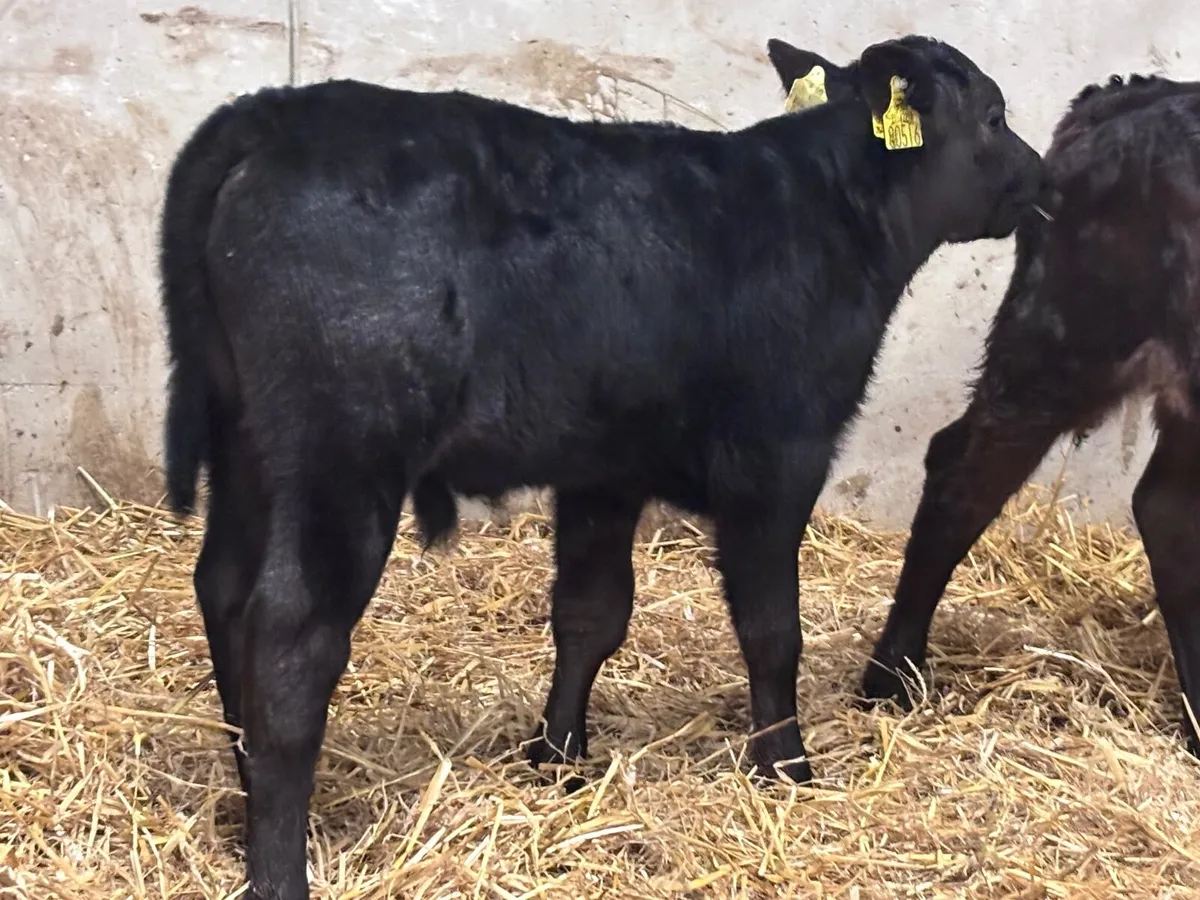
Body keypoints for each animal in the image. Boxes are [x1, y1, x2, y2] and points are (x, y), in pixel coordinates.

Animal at [159, 34, 1043, 899]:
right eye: (994, 116)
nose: (1041, 179)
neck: (828, 217)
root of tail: (268, 113)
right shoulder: (777, 460)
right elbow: (771, 629)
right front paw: (786, 765)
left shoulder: (605, 468)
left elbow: (589, 614)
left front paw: (557, 756)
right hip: (342, 455)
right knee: (292, 637)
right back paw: (280, 867)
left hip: (244, 443)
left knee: (223, 588)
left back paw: (247, 792)